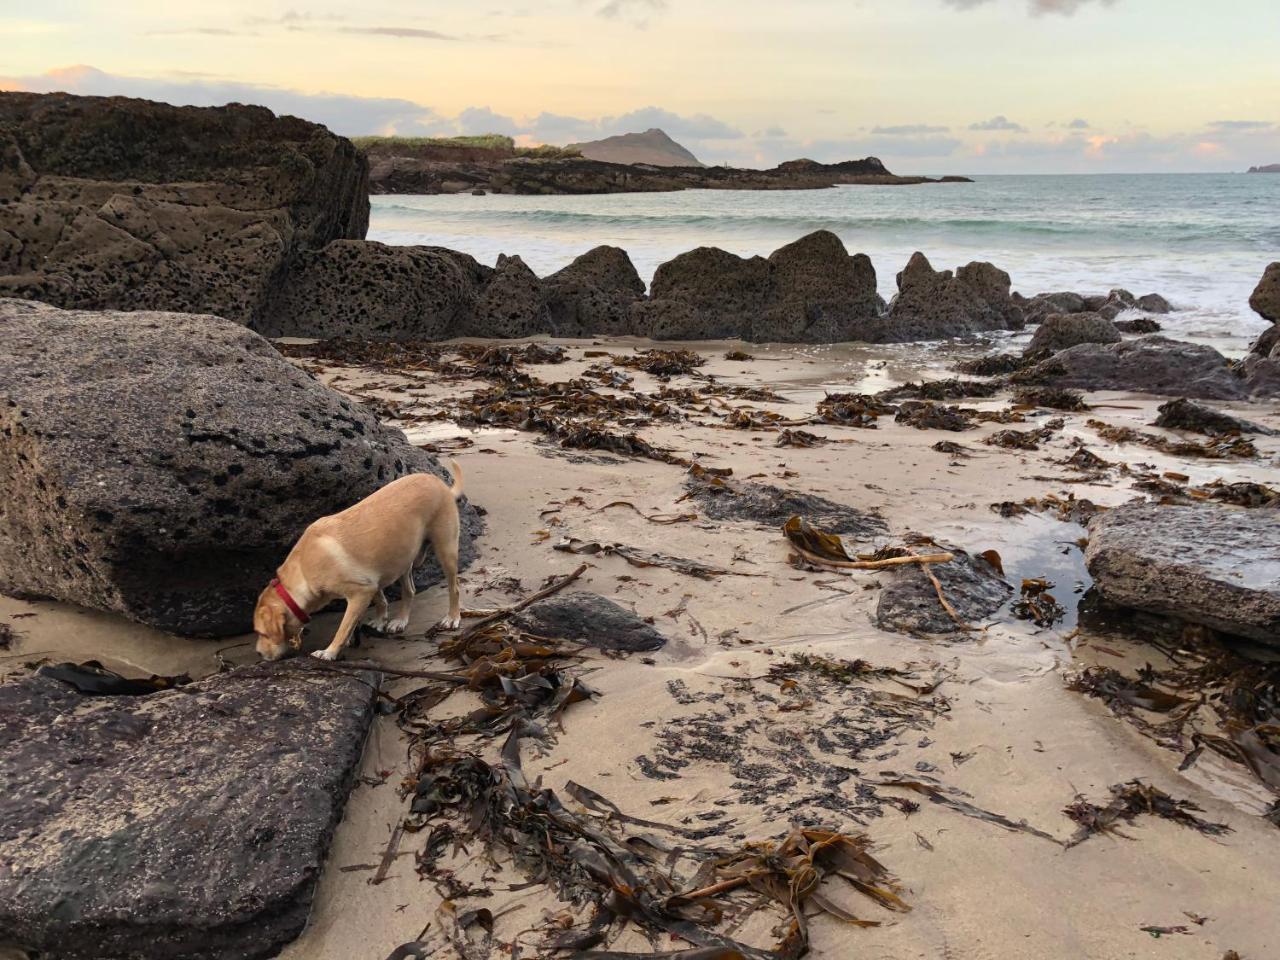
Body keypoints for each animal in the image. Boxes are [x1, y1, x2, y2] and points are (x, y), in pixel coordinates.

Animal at [252, 463, 468, 660]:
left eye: (262, 633)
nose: (259, 653)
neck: (303, 569)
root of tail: (441, 484)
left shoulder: (360, 592)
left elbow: (343, 627)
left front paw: (329, 652)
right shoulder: (371, 582)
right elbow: (379, 600)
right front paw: (380, 620)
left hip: (445, 550)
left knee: (454, 588)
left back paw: (452, 617)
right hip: (402, 557)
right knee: (409, 590)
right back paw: (400, 620)